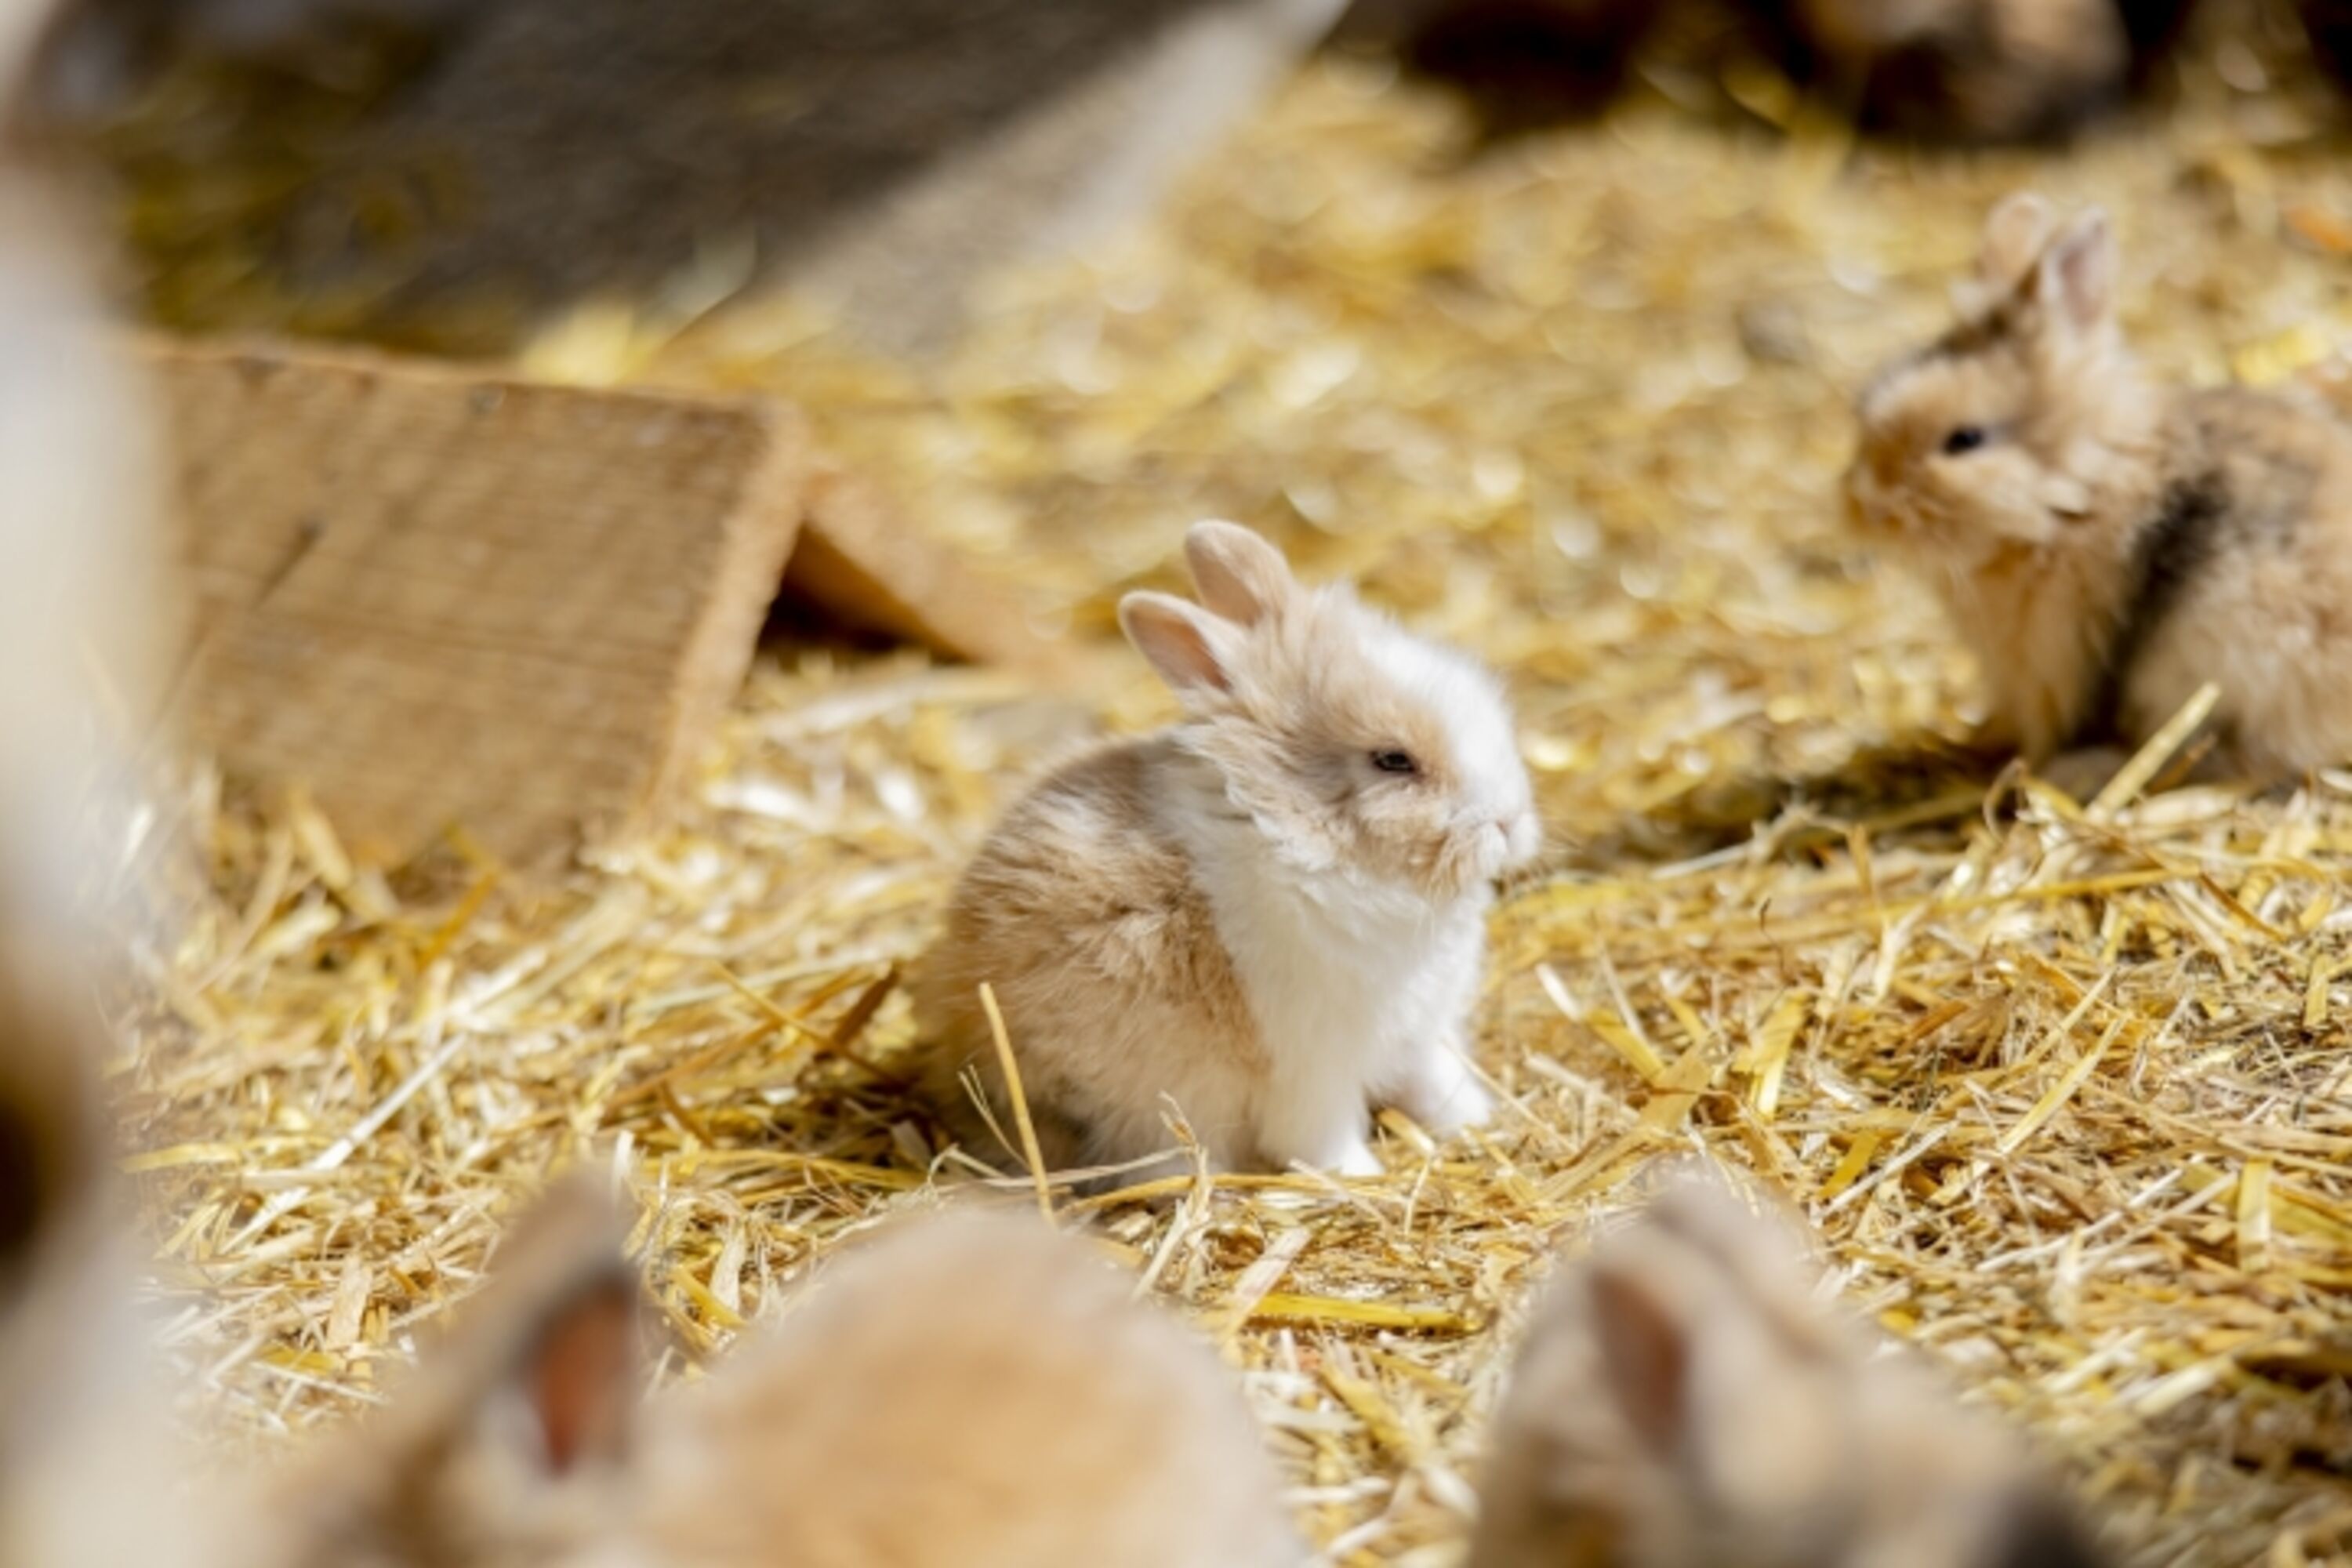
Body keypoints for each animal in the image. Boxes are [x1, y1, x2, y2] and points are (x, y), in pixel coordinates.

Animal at [912, 520, 1541, 1184]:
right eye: (1393, 761)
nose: (1511, 819)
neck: (1299, 831)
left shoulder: (1422, 1032)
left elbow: (1436, 1083)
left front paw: (1478, 1120)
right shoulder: (1314, 1069)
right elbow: (1321, 1134)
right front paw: (1359, 1174)